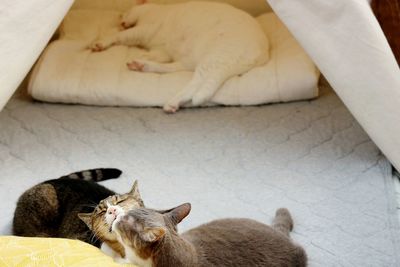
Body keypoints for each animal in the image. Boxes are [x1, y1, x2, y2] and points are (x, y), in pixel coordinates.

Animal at [91, 0, 268, 113]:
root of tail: (262, 53)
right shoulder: (162, 51)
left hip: (212, 58)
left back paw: (172, 102)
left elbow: (120, 36)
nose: (120, 21)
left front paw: (101, 43)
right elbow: (154, 55)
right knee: (172, 68)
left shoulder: (143, 30)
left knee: (195, 83)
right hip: (194, 59)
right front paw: (143, 55)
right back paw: (140, 64)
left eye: (125, 14)